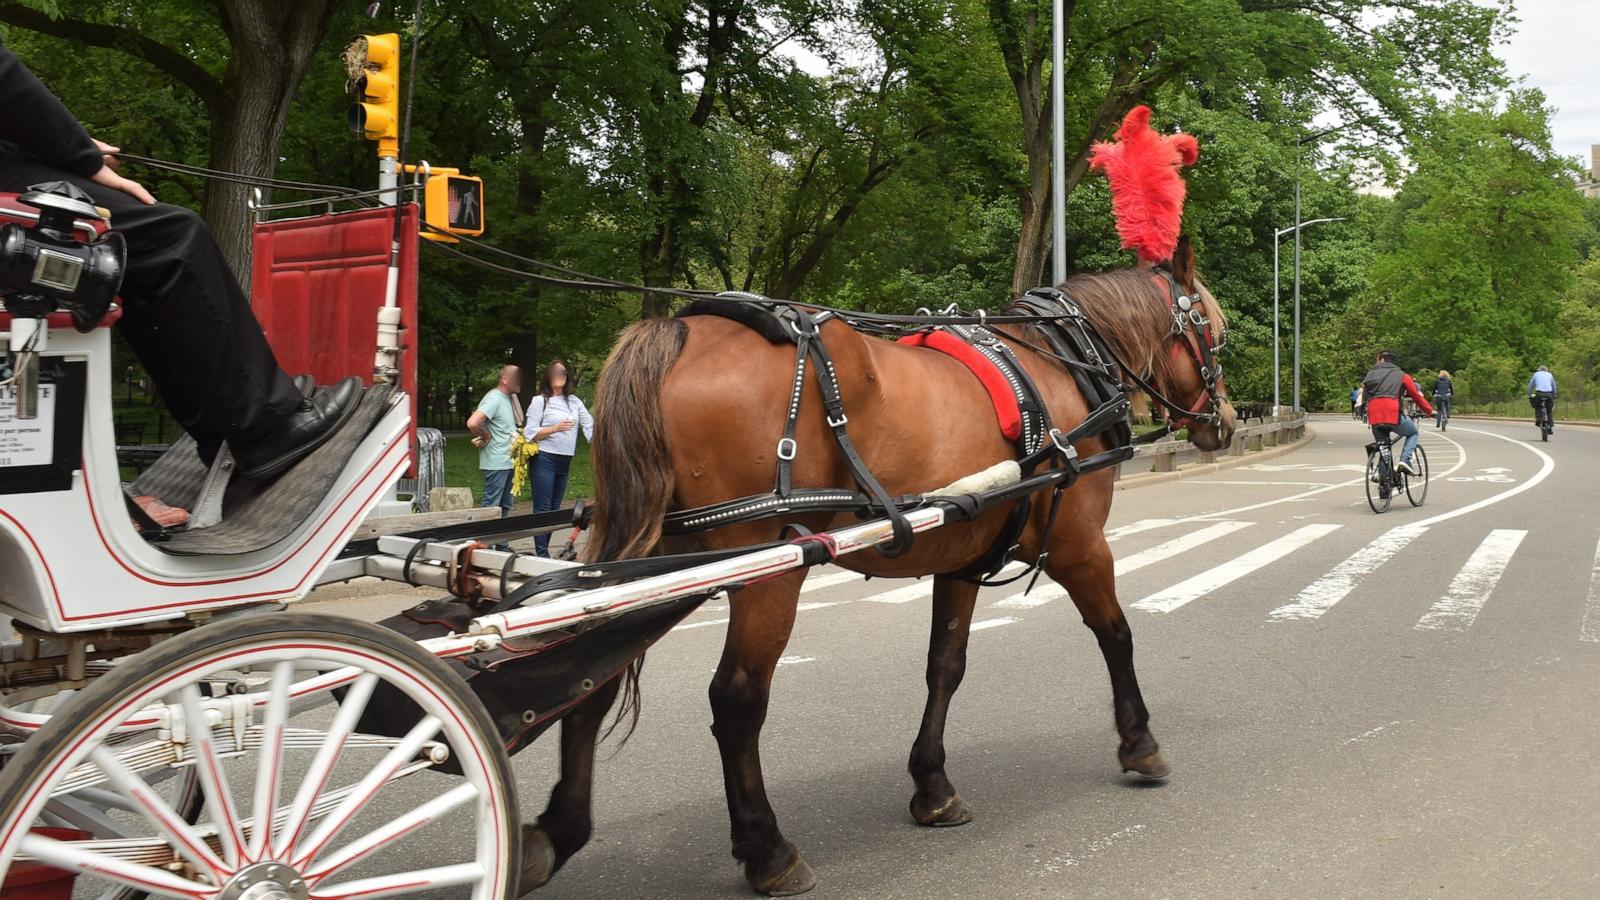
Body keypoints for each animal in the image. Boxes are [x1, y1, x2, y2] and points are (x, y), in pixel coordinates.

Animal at [516, 240, 1237, 895]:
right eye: (1215, 330)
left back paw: (559, 829)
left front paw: (933, 785)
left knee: (594, 677)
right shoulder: (1080, 544)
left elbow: (946, 666)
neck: (1059, 363)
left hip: (649, 557)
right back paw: (767, 848)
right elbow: (1117, 634)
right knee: (736, 699)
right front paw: (1140, 742)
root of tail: (681, 330)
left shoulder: (963, 557)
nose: (1225, 421)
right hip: (767, 566)